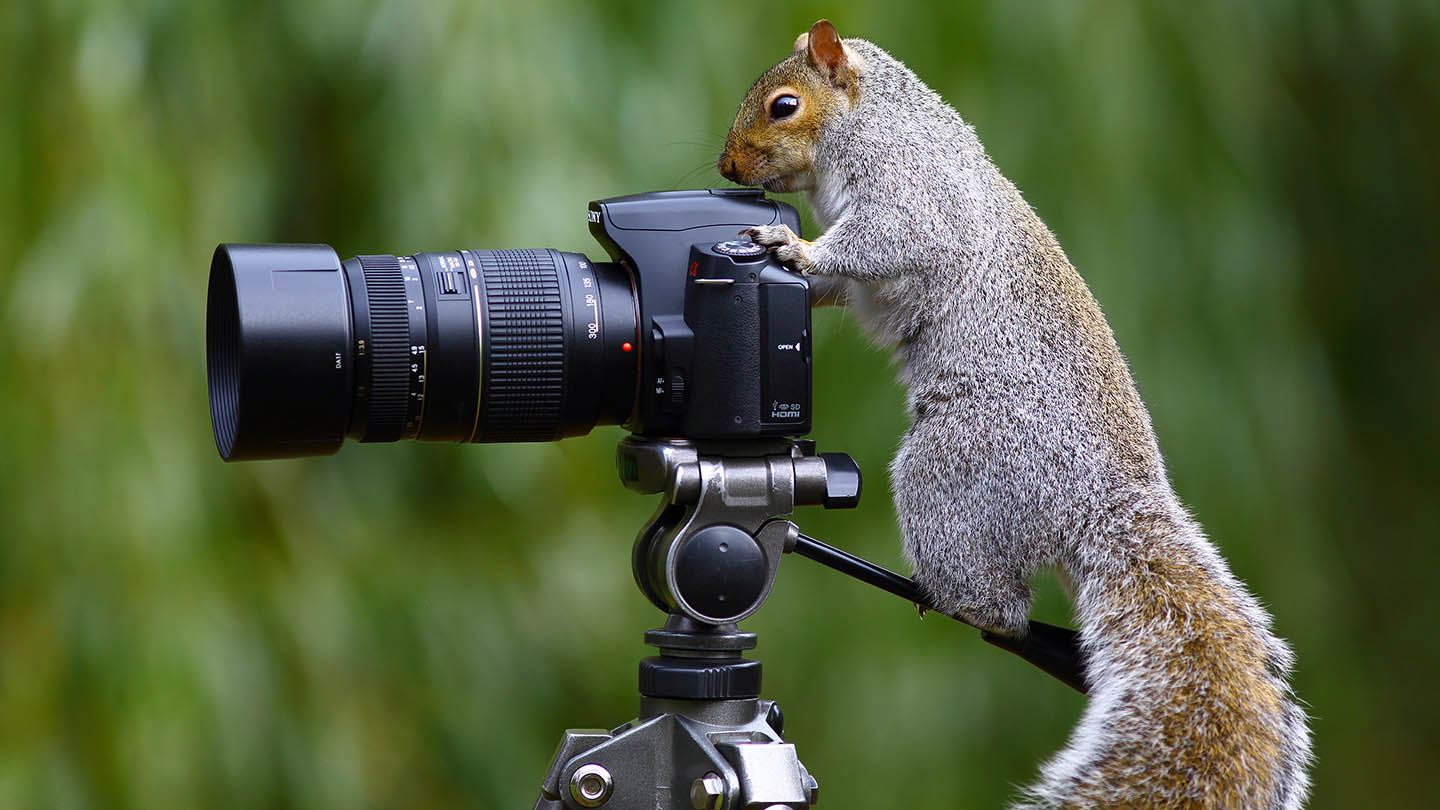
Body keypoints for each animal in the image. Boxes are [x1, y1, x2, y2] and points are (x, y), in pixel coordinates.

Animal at [719, 19, 1312, 809]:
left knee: (1004, 613)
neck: (876, 120)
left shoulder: (913, 194)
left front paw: (791, 246)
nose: (726, 165)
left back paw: (949, 597)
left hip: (954, 467)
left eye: (783, 105)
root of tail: (1098, 501)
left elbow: (882, 243)